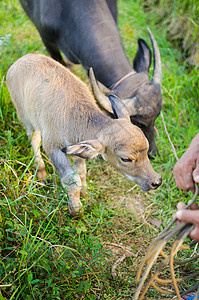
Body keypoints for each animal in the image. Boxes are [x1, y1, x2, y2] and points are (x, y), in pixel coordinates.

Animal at [6, 54, 162, 216]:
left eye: (146, 148)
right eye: (125, 159)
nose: (156, 181)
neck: (73, 116)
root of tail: (20, 61)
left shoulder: (77, 150)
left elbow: (81, 174)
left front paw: (86, 195)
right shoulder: (52, 147)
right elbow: (72, 180)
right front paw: (77, 211)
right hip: (26, 118)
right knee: (34, 139)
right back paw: (41, 172)